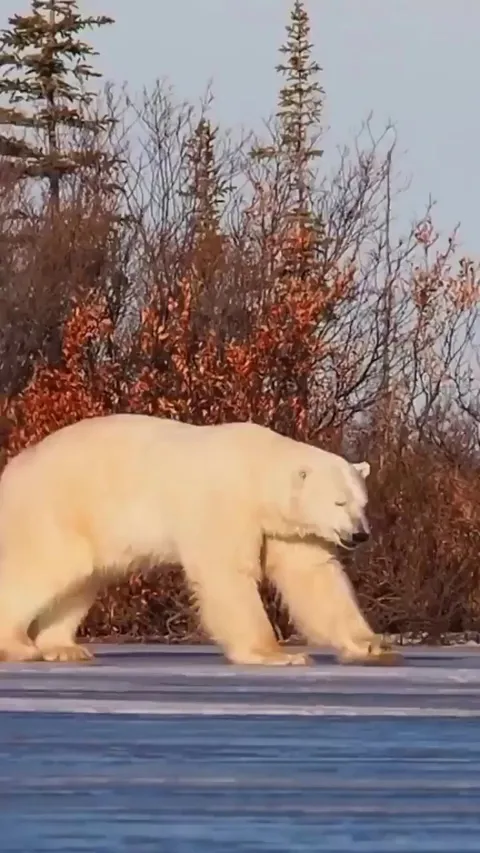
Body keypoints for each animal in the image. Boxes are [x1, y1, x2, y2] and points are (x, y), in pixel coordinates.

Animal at [0, 413, 400, 666]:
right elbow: (228, 572)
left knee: (81, 582)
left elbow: (314, 576)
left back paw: (64, 648)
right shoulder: (225, 505)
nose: (360, 534)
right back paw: (19, 646)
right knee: (44, 567)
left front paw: (372, 646)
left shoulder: (287, 529)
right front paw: (277, 654)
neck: (256, 470)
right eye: (338, 502)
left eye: (362, 503)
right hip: (60, 508)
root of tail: (13, 468)